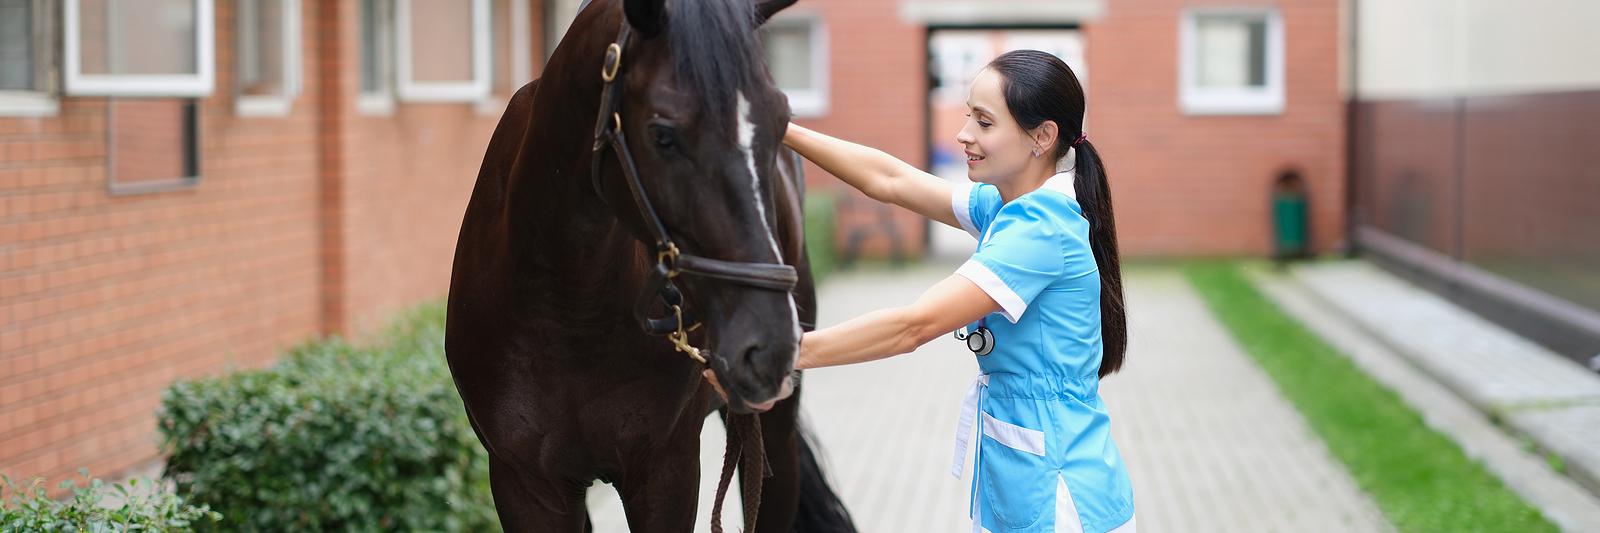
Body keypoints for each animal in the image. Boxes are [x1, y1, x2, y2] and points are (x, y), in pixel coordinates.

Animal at [444, 0, 857, 528]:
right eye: (663, 135)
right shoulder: (526, 483)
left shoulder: (666, 472)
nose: (769, 345)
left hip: (773, 436)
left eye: (782, 121)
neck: (565, 306)